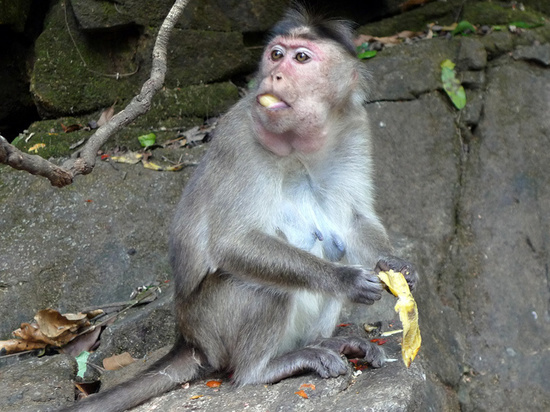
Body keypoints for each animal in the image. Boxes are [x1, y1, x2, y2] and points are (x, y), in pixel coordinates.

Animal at [60, 7, 420, 412]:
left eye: (301, 58)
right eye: (276, 55)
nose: (275, 74)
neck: (297, 142)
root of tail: (189, 339)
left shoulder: (354, 128)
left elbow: (355, 219)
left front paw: (396, 265)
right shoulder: (239, 137)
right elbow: (233, 243)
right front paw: (345, 279)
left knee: (333, 246)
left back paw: (326, 343)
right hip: (213, 325)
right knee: (266, 288)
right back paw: (265, 368)